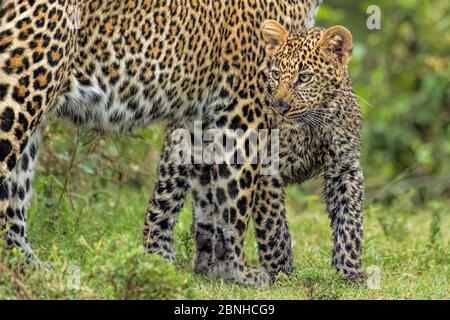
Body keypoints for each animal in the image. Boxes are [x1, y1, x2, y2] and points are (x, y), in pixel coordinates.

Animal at [0, 0, 322, 284]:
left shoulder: (197, 115)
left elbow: (185, 191)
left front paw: (180, 262)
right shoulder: (245, 108)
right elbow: (237, 196)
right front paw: (244, 270)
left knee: (15, 198)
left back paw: (32, 268)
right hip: (25, 84)